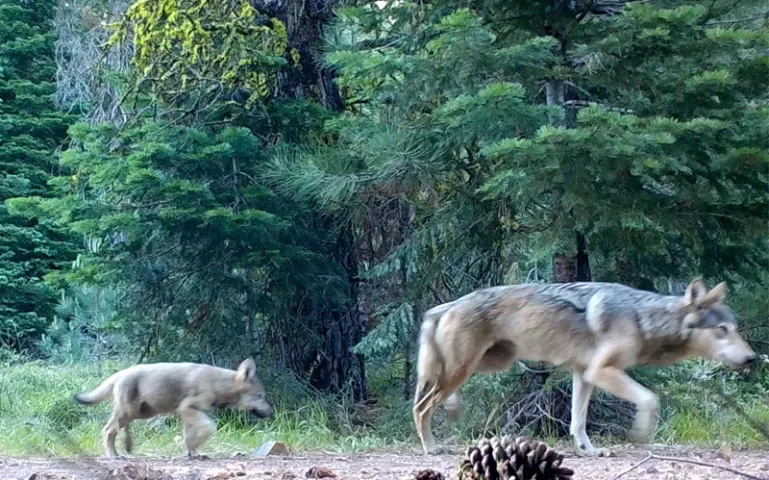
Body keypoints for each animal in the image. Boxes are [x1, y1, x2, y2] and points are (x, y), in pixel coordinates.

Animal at [74, 358, 273, 458]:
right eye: (261, 396)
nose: (272, 412)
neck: (218, 384)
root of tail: (120, 372)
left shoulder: (186, 413)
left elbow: (189, 436)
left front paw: (193, 453)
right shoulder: (187, 408)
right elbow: (208, 428)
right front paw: (194, 451)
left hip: (140, 413)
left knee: (119, 429)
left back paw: (127, 448)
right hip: (130, 412)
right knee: (108, 430)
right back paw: (113, 455)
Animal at [413, 278, 756, 456]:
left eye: (736, 328)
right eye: (722, 330)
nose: (753, 358)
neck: (643, 319)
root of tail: (445, 306)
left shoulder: (583, 374)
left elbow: (577, 422)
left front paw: (588, 450)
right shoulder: (601, 371)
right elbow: (650, 399)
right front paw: (640, 434)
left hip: (491, 363)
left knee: (434, 396)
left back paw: (452, 409)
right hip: (464, 368)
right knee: (421, 407)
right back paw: (431, 447)